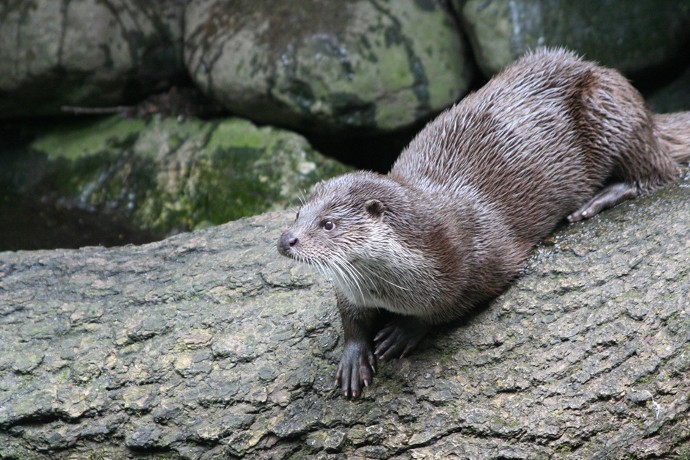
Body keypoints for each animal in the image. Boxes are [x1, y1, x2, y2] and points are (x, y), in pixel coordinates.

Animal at [276, 47, 688, 398]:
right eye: (298, 214)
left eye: (328, 224)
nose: (286, 240)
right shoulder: (354, 287)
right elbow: (350, 315)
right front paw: (353, 355)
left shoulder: (486, 261)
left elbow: (450, 306)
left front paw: (406, 329)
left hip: (608, 109)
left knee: (658, 169)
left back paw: (599, 199)